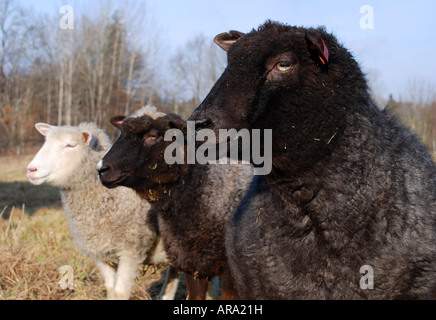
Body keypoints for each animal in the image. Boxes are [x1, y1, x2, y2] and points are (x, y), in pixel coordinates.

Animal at [26, 121, 179, 298]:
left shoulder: (132, 249)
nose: (31, 170)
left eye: (70, 145)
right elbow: (110, 287)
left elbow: (120, 291)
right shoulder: (99, 252)